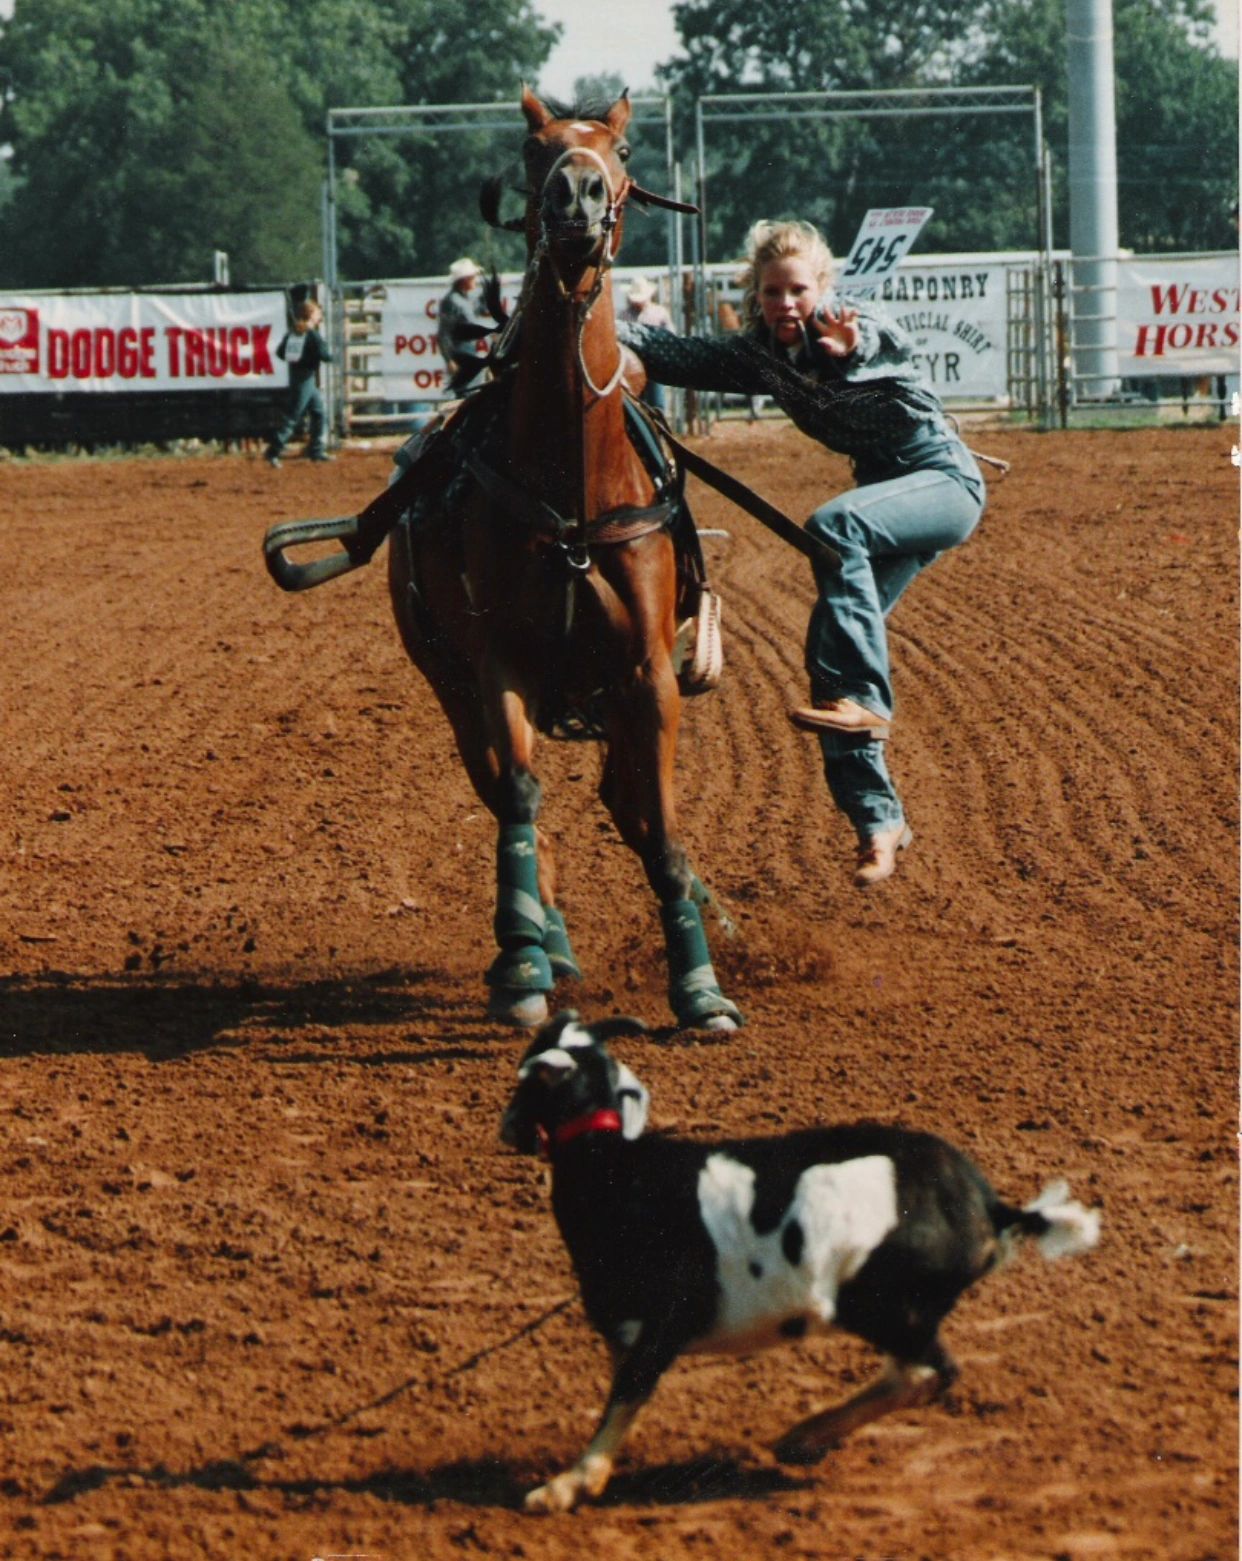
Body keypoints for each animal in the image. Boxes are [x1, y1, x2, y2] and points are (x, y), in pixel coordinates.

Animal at [500, 1011, 1101, 1514]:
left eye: (528, 1072)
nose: (508, 1129)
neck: (614, 1168)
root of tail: (990, 1208)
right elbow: (622, 1395)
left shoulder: (664, 1322)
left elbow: (625, 1398)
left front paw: (564, 1487)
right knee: (911, 1372)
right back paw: (803, 1438)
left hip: (879, 1304)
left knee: (930, 1371)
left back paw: (802, 1438)